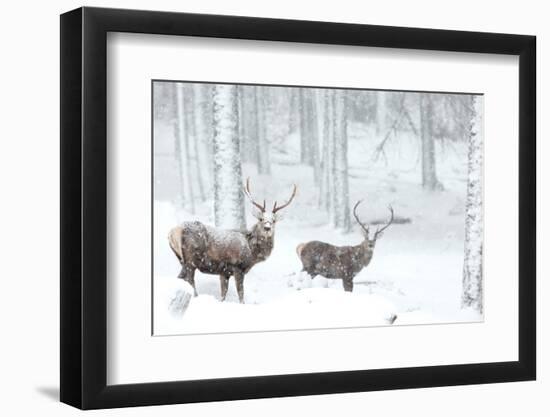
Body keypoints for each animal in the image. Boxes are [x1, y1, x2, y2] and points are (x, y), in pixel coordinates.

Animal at [168, 178, 298, 302]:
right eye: (261, 219)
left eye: (274, 220)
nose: (267, 228)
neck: (252, 253)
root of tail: (173, 232)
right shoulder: (237, 267)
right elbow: (241, 294)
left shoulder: (224, 272)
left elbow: (223, 294)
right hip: (191, 259)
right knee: (189, 280)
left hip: (182, 259)